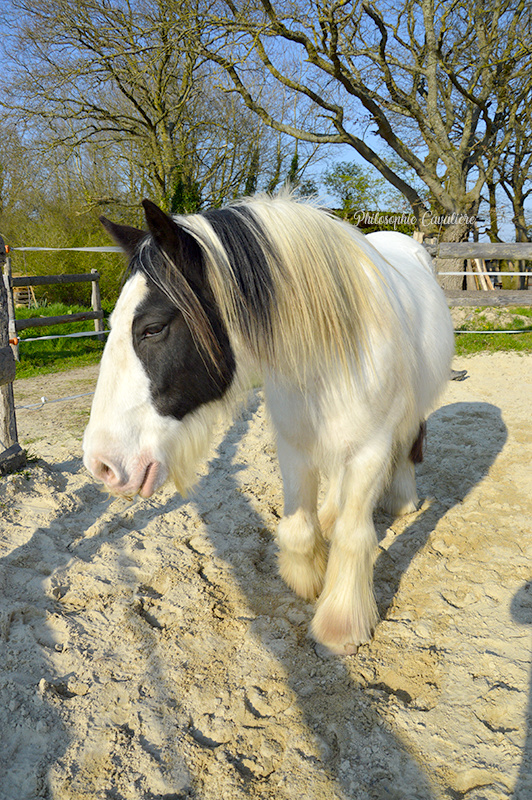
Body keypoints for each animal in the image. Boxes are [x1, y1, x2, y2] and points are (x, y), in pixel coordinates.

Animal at [83, 195, 454, 656]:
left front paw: (340, 621)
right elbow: (297, 526)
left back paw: (402, 498)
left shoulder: (370, 449)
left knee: (409, 442)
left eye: (152, 328)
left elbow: (354, 535)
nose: (100, 464)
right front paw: (306, 579)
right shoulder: (294, 442)